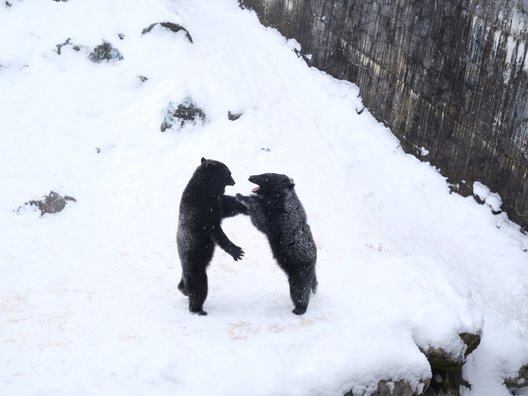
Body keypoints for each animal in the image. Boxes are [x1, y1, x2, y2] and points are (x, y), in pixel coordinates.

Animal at [175, 158, 245, 316]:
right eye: (228, 172)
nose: (234, 181)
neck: (206, 189)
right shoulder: (202, 210)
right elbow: (216, 231)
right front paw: (237, 251)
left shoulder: (216, 202)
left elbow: (227, 206)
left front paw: (244, 203)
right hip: (195, 261)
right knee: (199, 286)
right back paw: (198, 309)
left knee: (185, 282)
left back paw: (183, 290)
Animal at [236, 173, 318, 316]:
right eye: (265, 173)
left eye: (266, 177)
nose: (251, 176)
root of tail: (313, 260)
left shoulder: (280, 219)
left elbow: (260, 219)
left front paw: (243, 196)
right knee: (312, 280)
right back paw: (314, 288)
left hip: (299, 269)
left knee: (299, 289)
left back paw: (299, 308)